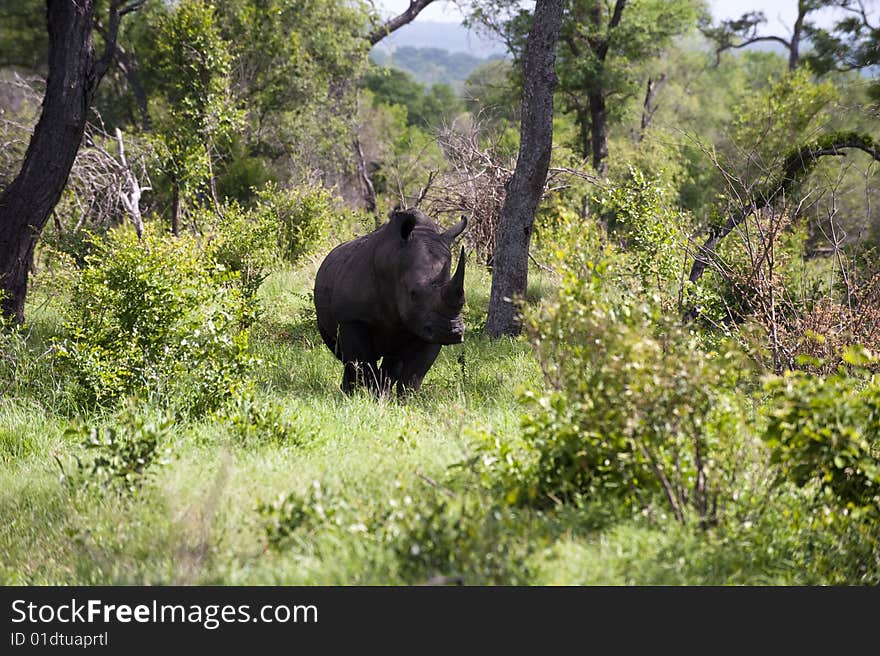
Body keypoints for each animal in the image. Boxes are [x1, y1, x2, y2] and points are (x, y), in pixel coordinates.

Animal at [314, 209, 468, 394]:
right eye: (413, 294)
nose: (451, 332)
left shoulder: (427, 326)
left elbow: (414, 375)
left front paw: (405, 399)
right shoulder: (352, 319)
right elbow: (362, 362)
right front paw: (368, 396)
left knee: (391, 358)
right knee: (344, 356)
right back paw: (349, 392)